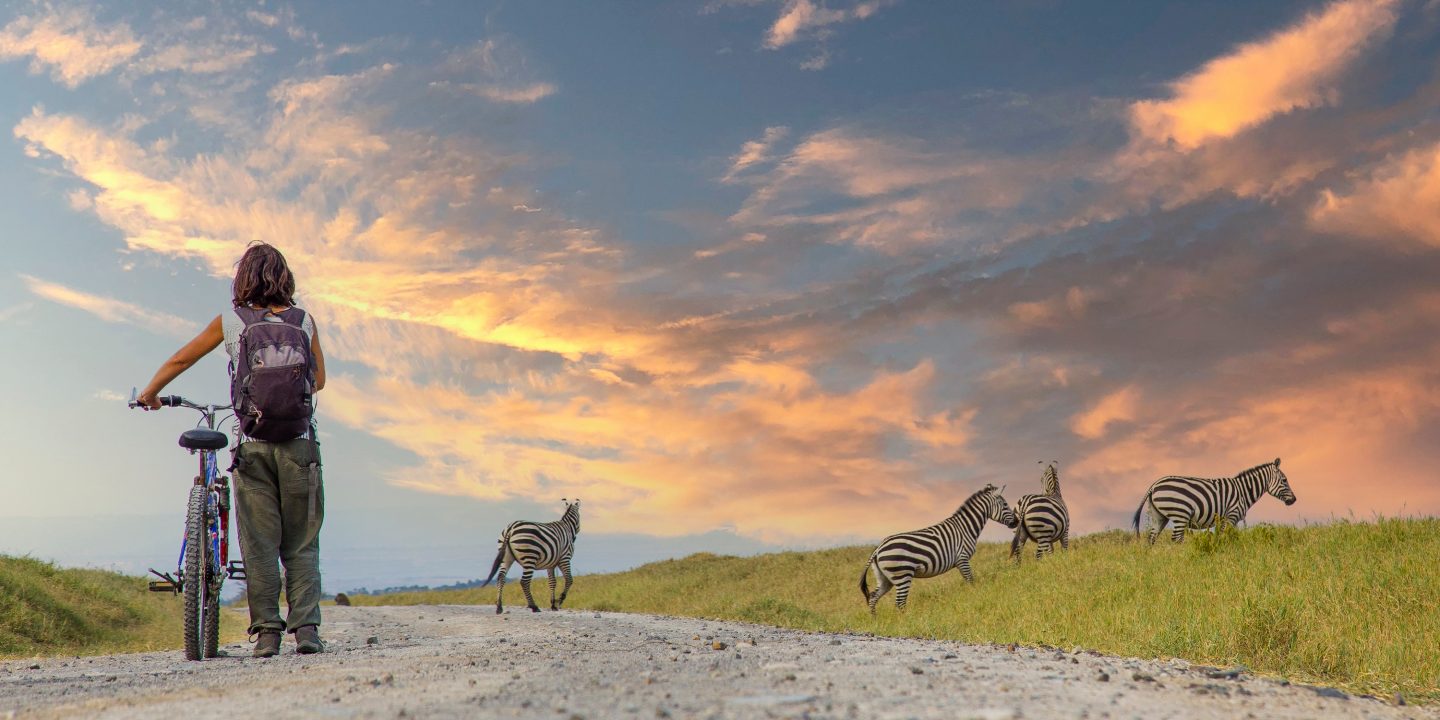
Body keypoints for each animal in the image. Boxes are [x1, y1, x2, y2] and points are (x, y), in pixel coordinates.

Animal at [858, 483, 1019, 613]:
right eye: (1005, 504)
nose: (1017, 522)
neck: (965, 527)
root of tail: (878, 549)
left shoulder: (960, 562)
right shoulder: (962, 559)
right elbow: (971, 582)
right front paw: (975, 597)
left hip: (885, 578)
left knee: (873, 598)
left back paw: (875, 620)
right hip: (902, 575)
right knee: (899, 603)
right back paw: (906, 620)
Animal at [1128, 457, 1301, 541]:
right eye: (1285, 480)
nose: (1294, 500)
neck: (1243, 491)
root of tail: (1154, 485)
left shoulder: (1231, 519)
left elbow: (1229, 537)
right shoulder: (1231, 516)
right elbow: (1224, 537)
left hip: (1159, 516)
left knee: (1151, 537)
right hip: (1180, 514)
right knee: (1176, 538)